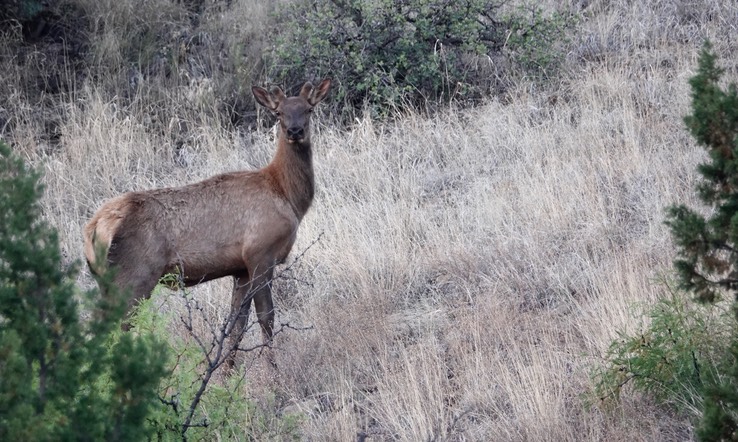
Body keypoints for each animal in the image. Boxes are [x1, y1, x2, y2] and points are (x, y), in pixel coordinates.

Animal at [82, 78, 330, 370]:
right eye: (278, 113)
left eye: (308, 109)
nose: (294, 130)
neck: (286, 195)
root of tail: (94, 228)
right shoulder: (261, 253)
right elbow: (266, 318)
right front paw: (274, 372)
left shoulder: (241, 268)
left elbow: (236, 324)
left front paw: (228, 372)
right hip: (133, 275)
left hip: (107, 280)